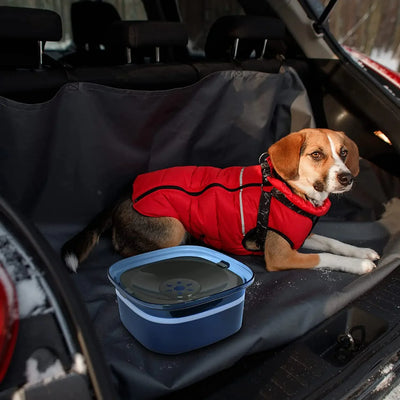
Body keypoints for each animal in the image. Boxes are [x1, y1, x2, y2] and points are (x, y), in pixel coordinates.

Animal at [62, 128, 378, 276]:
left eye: (344, 152)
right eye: (316, 154)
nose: (347, 178)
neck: (287, 190)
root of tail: (123, 197)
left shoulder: (298, 235)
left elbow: (332, 243)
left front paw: (361, 252)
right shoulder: (281, 255)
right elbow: (325, 256)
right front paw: (358, 265)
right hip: (173, 229)